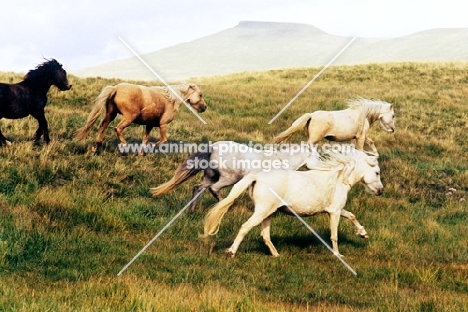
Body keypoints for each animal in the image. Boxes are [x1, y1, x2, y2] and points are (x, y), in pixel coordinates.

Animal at [152, 140, 320, 211]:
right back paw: (223, 205)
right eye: (318, 156)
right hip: (228, 178)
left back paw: (191, 210)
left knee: (198, 188)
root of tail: (212, 148)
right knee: (214, 189)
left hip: (210, 176)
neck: (281, 160)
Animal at [203, 149, 382, 258]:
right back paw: (231, 252)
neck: (338, 179)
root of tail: (257, 177)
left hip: (269, 213)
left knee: (265, 235)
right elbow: (334, 235)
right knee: (245, 227)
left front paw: (363, 233)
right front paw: (338, 255)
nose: (381, 191)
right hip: (262, 211)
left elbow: (351, 215)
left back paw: (276, 255)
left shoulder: (335, 209)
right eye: (377, 172)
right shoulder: (334, 212)